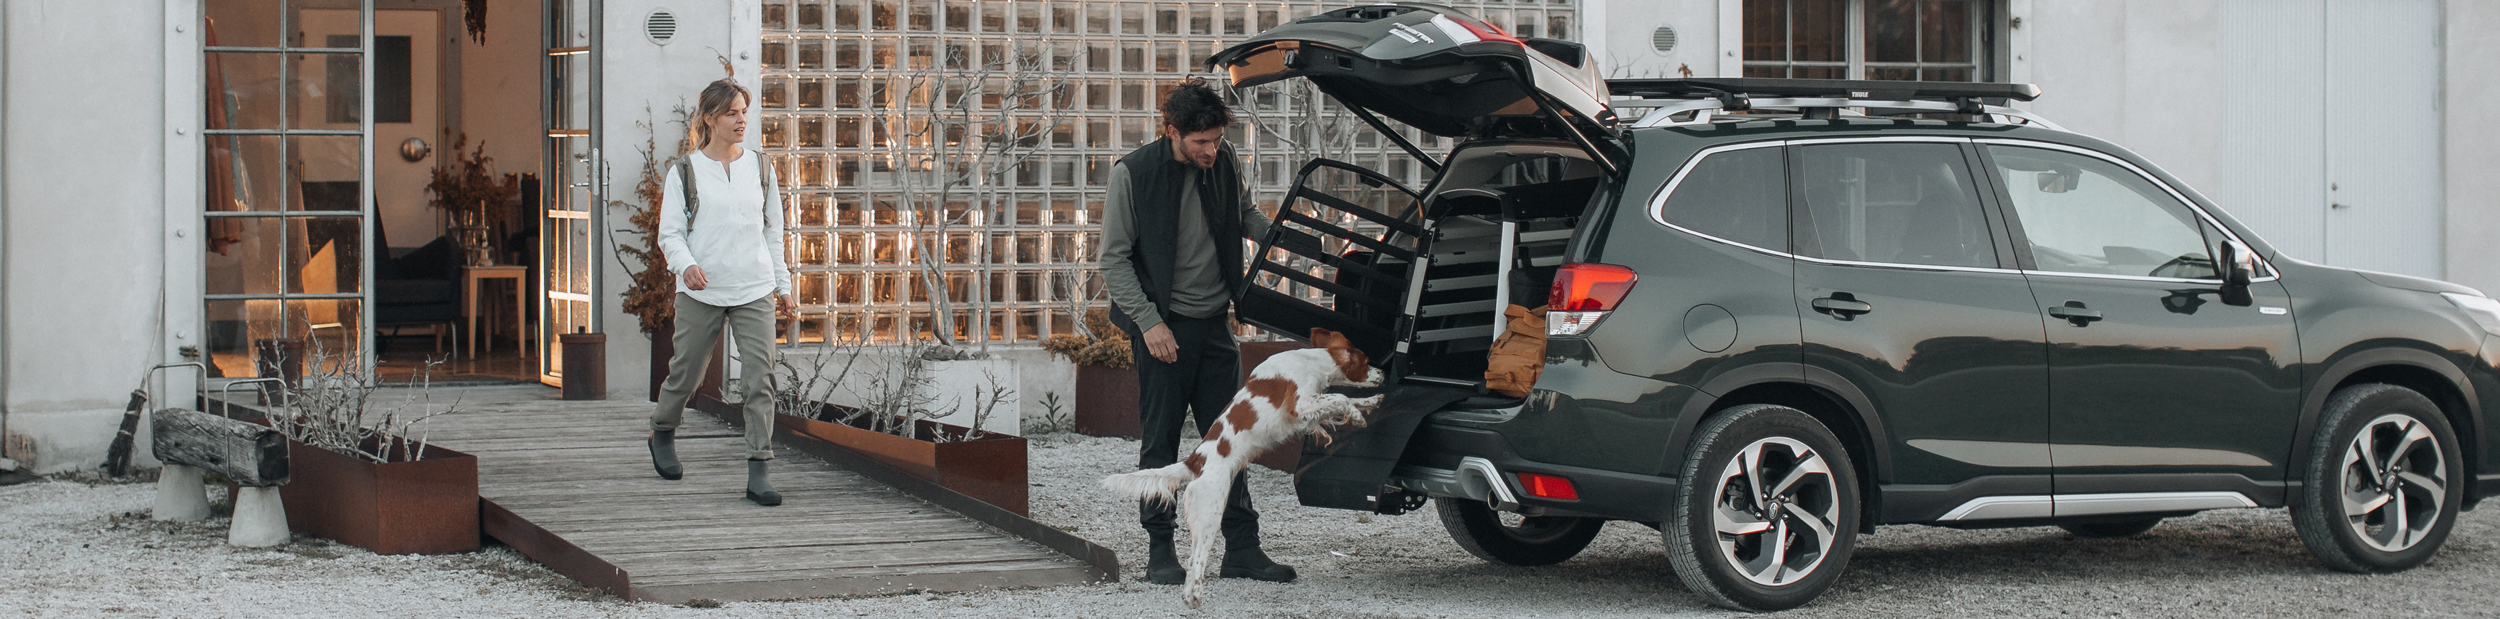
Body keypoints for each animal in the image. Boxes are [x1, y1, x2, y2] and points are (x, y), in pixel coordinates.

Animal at [1110, 329, 1390, 609]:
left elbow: (1343, 401)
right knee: (1197, 558)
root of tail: (1195, 461)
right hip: (1211, 511)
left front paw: (1370, 402)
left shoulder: (1308, 411)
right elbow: (1340, 397)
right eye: (1366, 362)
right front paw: (1357, 415)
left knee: (1192, 559)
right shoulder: (1299, 405)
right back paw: (1194, 596)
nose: (1383, 373)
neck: (1311, 361)